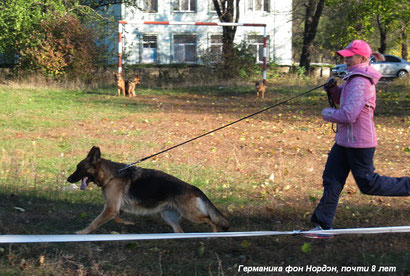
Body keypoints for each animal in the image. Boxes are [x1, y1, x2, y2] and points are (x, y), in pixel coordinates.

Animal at [65, 146, 229, 234]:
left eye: (80, 168)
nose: (68, 179)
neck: (112, 175)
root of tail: (193, 187)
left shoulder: (110, 207)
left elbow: (95, 222)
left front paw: (83, 232)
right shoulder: (115, 208)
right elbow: (117, 217)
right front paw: (128, 223)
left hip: (192, 214)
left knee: (211, 220)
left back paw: (212, 235)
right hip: (168, 216)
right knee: (180, 232)